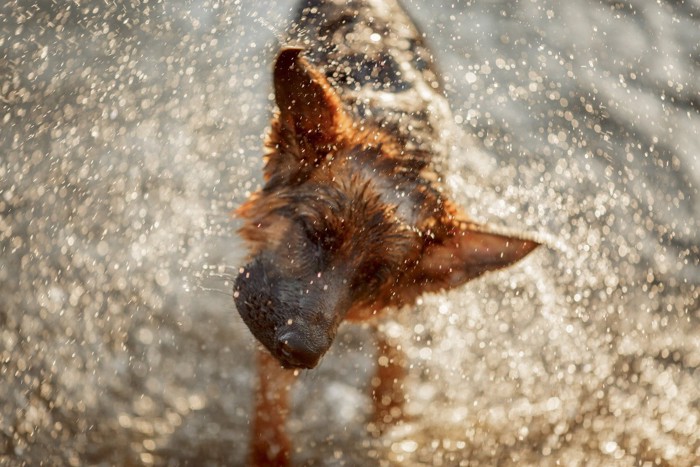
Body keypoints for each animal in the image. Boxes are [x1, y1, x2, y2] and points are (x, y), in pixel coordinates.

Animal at [232, 0, 540, 464]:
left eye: (373, 277)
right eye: (315, 233)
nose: (302, 353)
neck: (402, 143)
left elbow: (394, 356)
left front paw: (391, 420)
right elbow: (271, 416)